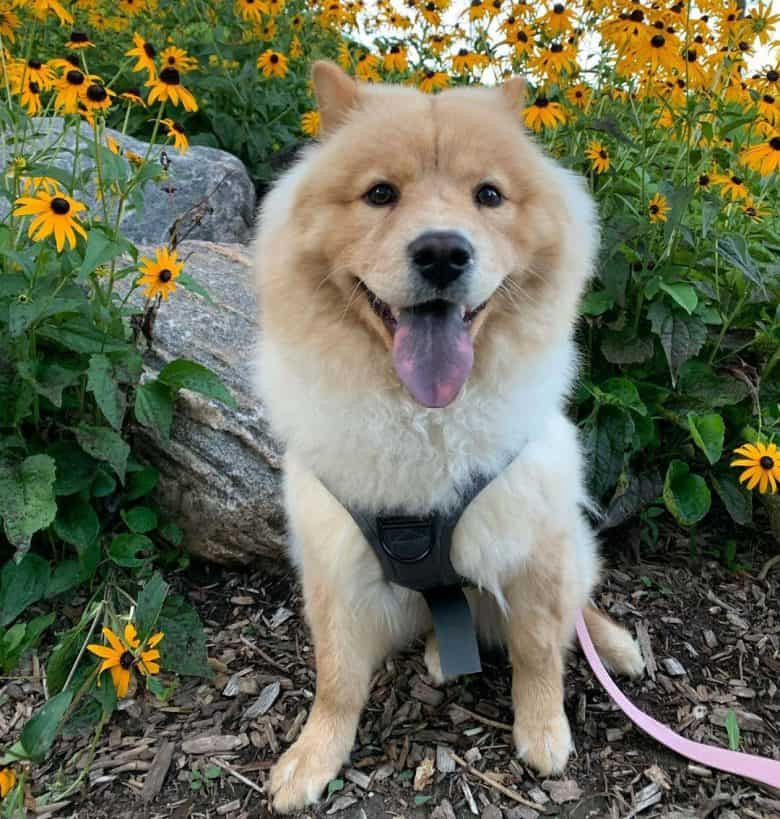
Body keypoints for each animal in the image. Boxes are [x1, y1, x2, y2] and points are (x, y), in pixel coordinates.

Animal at [253, 59, 644, 812]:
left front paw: (544, 734)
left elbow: (539, 653)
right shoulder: (333, 564)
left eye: (488, 195)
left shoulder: (535, 545)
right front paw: (312, 759)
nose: (441, 251)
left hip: (572, 543)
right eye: (380, 194)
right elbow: (335, 679)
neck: (426, 418)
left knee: (582, 607)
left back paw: (617, 648)